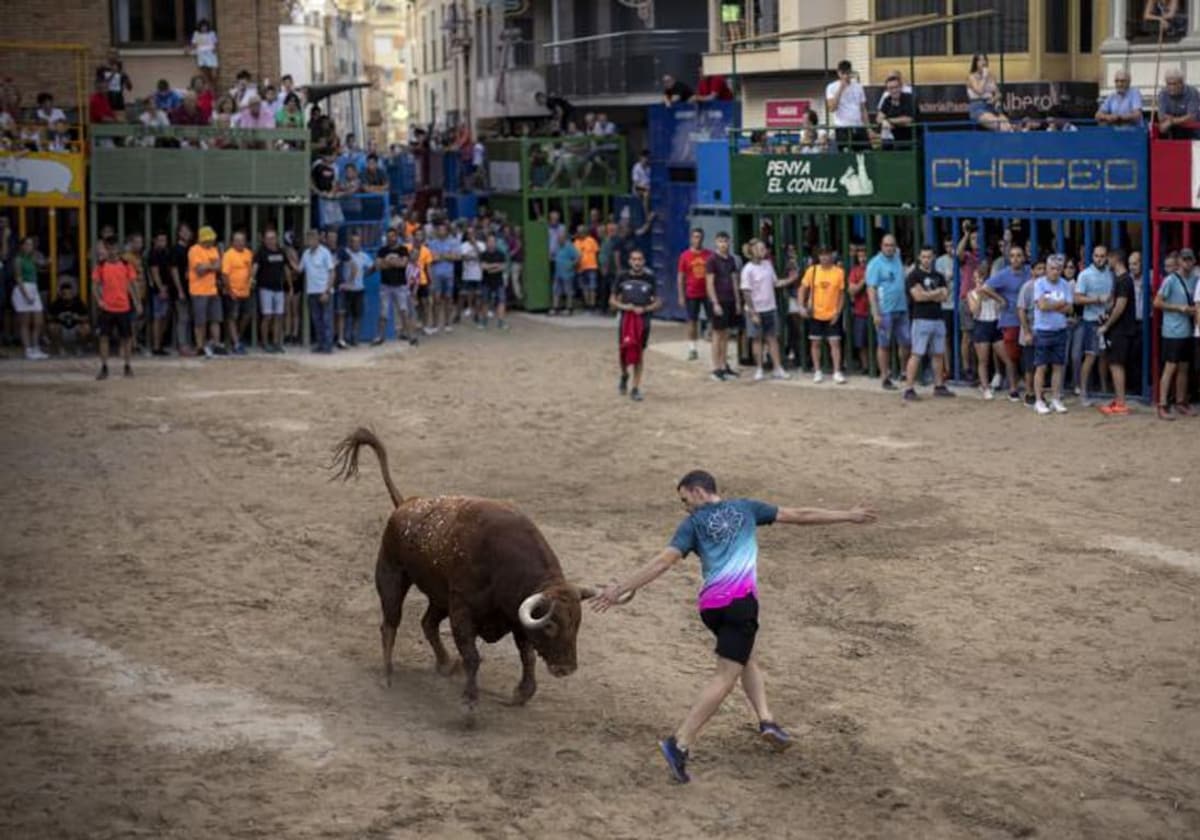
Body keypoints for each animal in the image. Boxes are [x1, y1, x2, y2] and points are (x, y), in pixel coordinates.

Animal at [333, 427, 624, 710]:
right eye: (551, 625)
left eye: (577, 623)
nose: (566, 668)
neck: (502, 564)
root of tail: (405, 504)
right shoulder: (462, 610)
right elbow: (473, 656)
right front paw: (470, 702)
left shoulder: (513, 616)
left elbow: (526, 654)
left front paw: (521, 693)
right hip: (392, 576)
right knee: (390, 624)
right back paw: (387, 675)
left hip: (440, 597)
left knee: (427, 623)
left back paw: (445, 664)